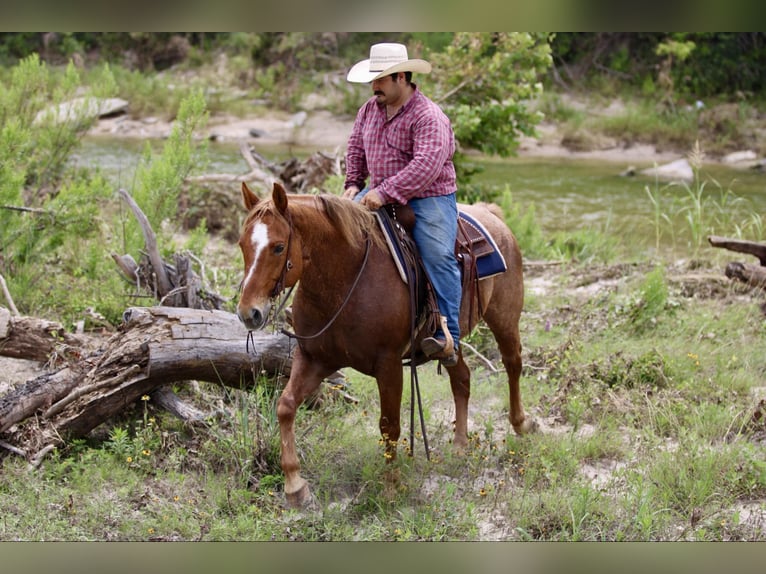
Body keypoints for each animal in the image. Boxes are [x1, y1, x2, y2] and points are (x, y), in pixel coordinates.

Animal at [237, 181, 537, 507]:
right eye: (242, 245)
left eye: (278, 247)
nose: (249, 313)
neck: (345, 280)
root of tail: (491, 214)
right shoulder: (314, 357)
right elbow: (286, 406)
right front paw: (295, 486)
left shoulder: (388, 365)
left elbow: (389, 425)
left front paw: (391, 487)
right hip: (450, 345)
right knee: (462, 379)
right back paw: (459, 445)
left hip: (504, 316)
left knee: (512, 363)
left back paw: (521, 424)